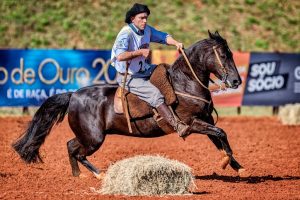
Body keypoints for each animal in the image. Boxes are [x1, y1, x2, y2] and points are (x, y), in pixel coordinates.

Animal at [12, 30, 245, 178]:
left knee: (70, 146)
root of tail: (73, 95)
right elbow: (222, 133)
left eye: (232, 54)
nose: (236, 81)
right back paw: (99, 175)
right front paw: (228, 163)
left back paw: (77, 176)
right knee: (78, 152)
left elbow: (219, 139)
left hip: (88, 136)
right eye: (223, 55)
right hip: (94, 138)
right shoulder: (192, 123)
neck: (185, 83)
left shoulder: (206, 120)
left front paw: (236, 166)